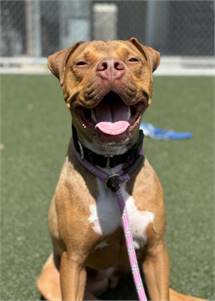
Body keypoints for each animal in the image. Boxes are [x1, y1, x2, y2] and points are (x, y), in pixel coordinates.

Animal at [36, 38, 207, 298]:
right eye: (81, 63)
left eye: (132, 59)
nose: (109, 66)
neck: (112, 170)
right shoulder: (74, 260)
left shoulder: (156, 251)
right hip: (50, 278)